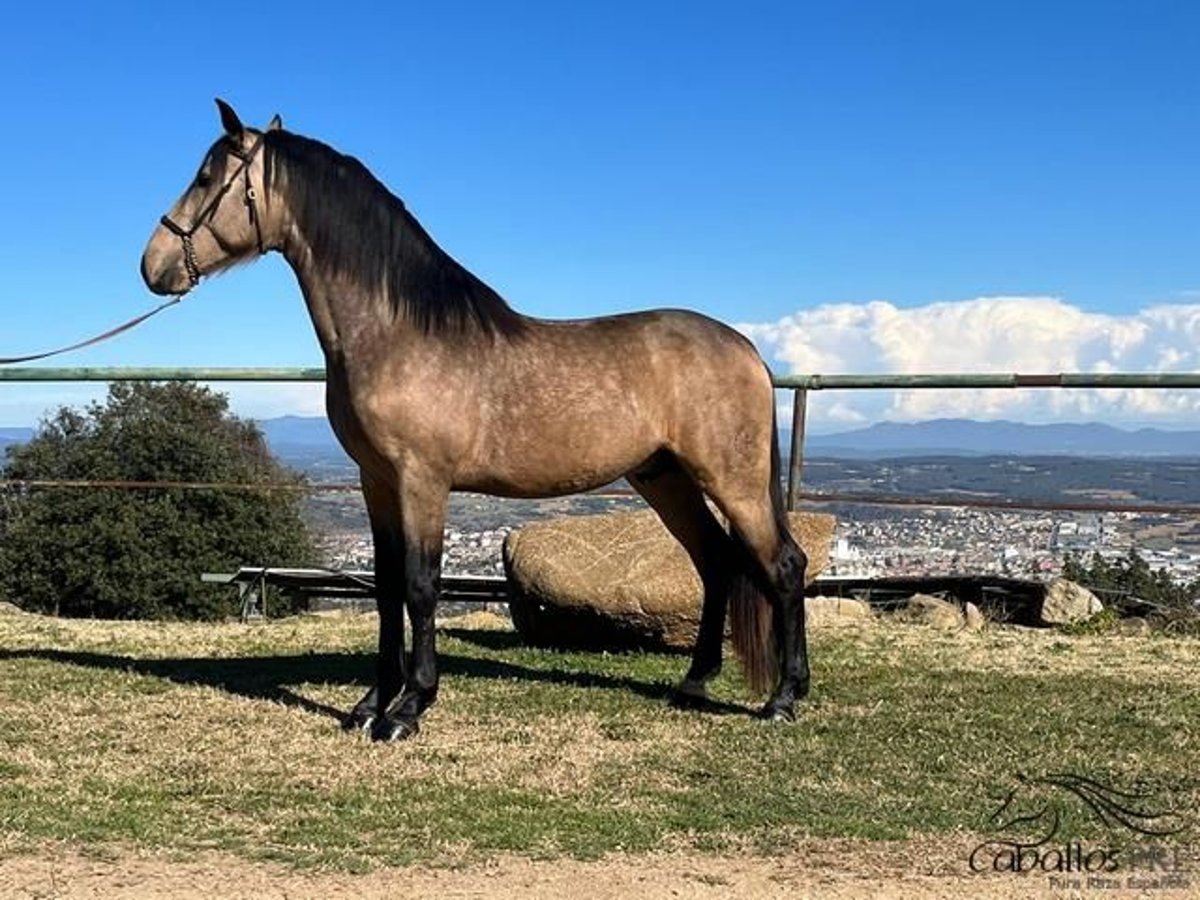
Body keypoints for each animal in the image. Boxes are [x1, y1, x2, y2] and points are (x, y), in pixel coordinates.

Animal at [142, 102, 816, 744]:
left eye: (206, 178)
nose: (152, 266)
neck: (397, 334)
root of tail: (746, 349)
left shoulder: (422, 481)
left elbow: (421, 586)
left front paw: (409, 709)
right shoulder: (376, 481)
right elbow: (385, 588)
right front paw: (369, 705)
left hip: (730, 478)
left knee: (783, 566)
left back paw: (784, 699)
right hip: (664, 478)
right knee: (716, 563)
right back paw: (695, 683)